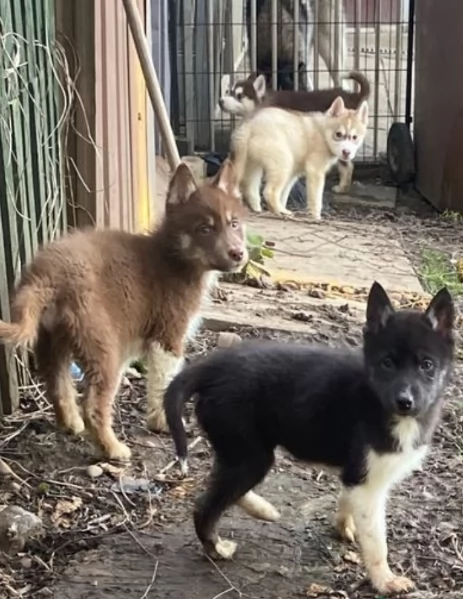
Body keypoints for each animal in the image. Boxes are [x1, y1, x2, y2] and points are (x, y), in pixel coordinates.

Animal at [165, 284, 454, 596]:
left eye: (427, 365)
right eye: (387, 363)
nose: (405, 402)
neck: (375, 398)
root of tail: (212, 367)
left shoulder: (355, 475)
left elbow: (346, 499)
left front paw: (344, 526)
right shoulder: (369, 483)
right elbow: (377, 541)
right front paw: (385, 581)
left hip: (239, 449)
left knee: (221, 481)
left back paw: (261, 509)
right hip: (251, 456)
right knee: (206, 505)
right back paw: (217, 548)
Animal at [232, 97, 370, 219]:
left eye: (355, 137)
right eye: (338, 134)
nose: (346, 152)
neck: (324, 133)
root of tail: (249, 123)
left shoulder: (293, 174)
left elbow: (284, 195)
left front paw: (283, 206)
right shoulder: (315, 171)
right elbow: (316, 198)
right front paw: (316, 217)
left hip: (254, 163)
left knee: (250, 187)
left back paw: (263, 210)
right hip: (284, 161)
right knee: (269, 191)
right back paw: (278, 211)